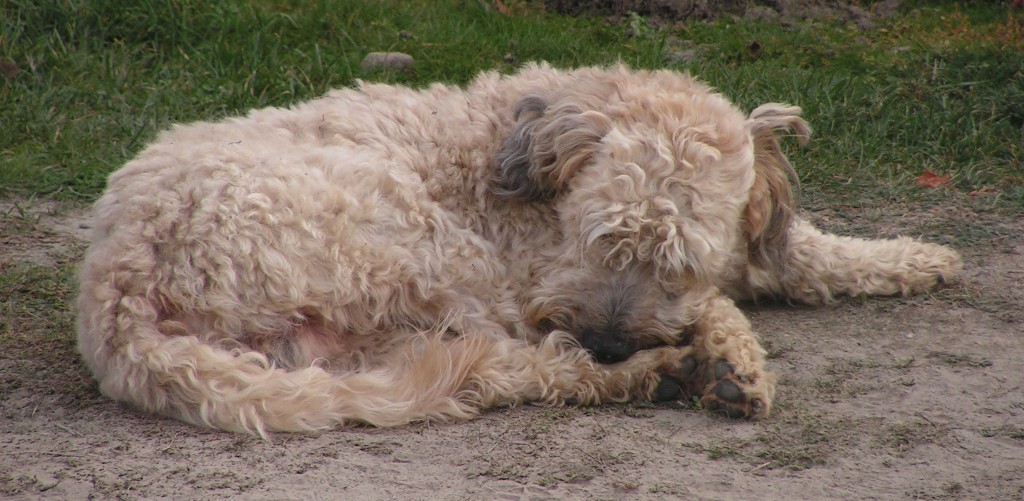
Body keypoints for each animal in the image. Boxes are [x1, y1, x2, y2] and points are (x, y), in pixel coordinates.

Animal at [74, 64, 958, 436]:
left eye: (673, 259)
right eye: (601, 237)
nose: (610, 336)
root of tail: (117, 291)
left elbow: (794, 252)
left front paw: (913, 258)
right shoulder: (533, 279)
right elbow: (722, 301)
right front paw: (734, 356)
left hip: (361, 337)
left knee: (493, 374)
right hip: (427, 246)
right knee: (533, 367)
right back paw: (653, 374)